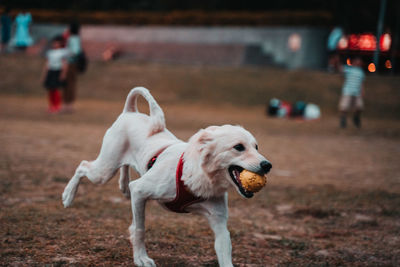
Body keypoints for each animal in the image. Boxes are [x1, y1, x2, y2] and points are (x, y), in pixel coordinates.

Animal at [62, 87, 272, 266]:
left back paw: (122, 185)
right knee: (82, 166)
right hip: (104, 170)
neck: (199, 177)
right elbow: (139, 229)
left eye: (256, 147)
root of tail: (130, 112)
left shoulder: (219, 224)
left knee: (123, 170)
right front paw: (141, 258)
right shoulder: (139, 191)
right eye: (238, 147)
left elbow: (225, 251)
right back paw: (68, 196)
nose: (267, 165)